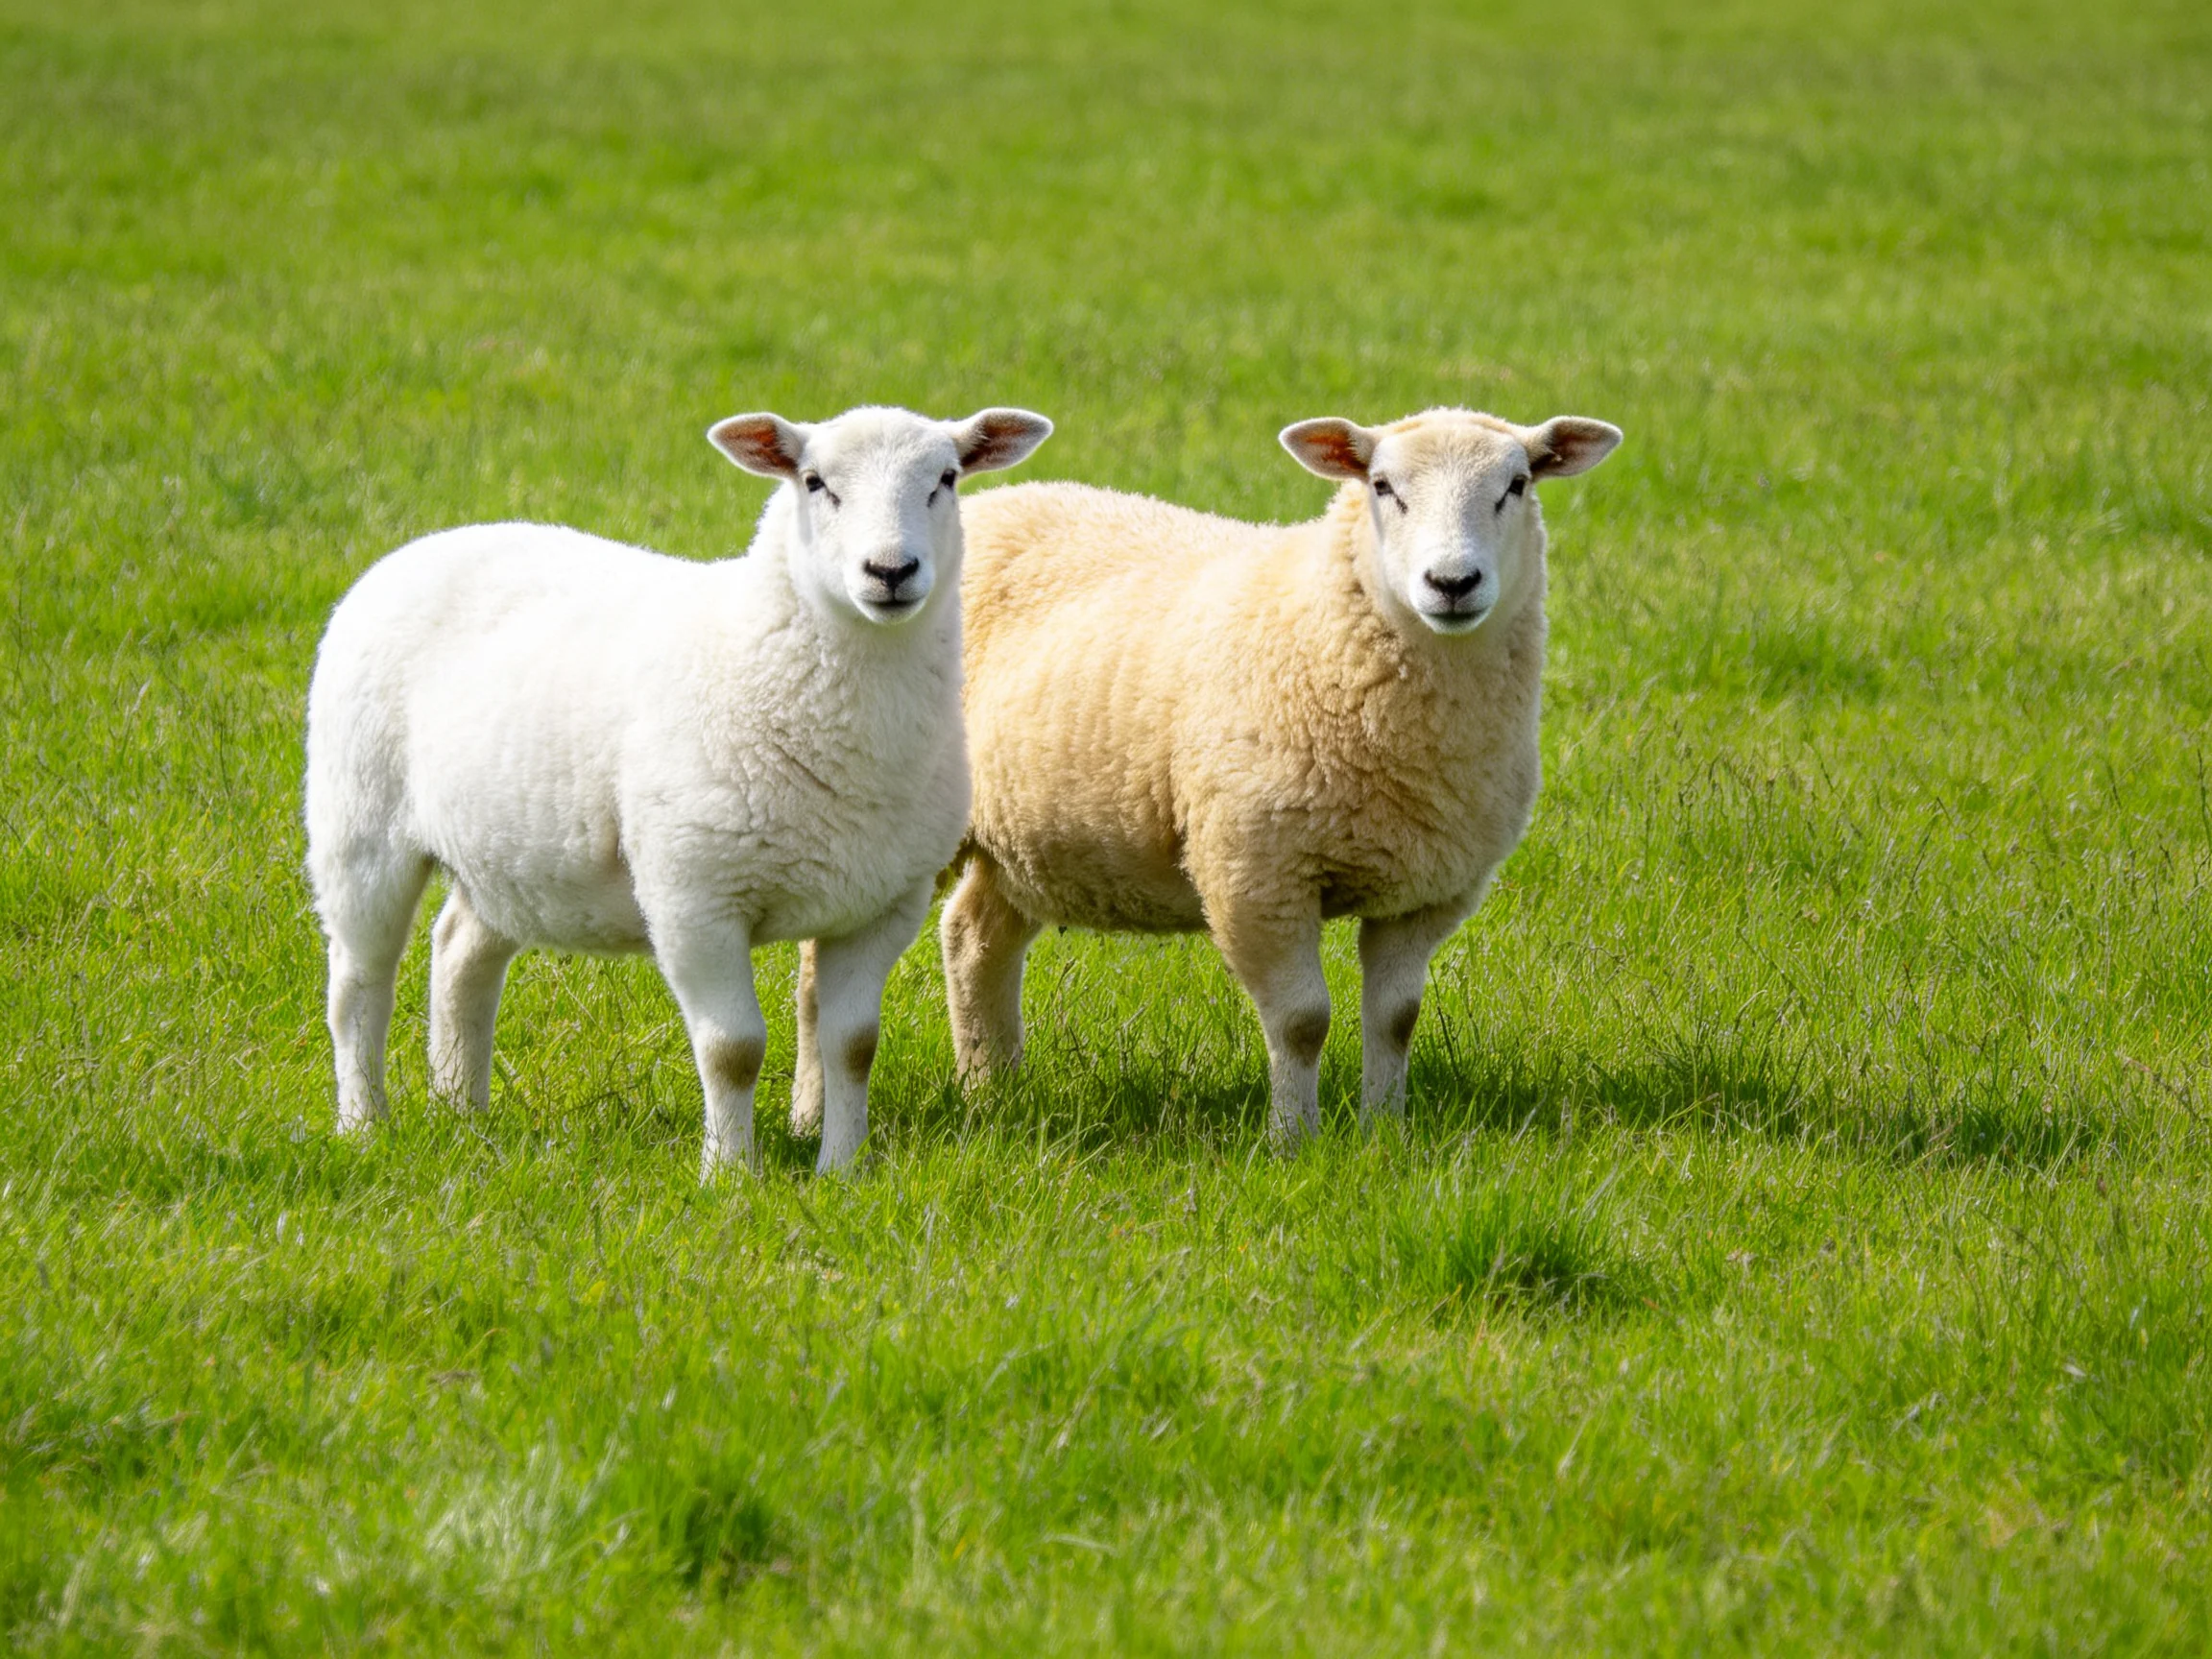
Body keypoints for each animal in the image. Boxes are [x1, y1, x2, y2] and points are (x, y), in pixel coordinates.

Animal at [304, 404, 1054, 1175]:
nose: (891, 571)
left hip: (511, 855)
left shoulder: (880, 908)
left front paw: (843, 1169)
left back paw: (462, 1112)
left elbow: (852, 1046)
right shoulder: (693, 898)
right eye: (814, 483)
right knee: (357, 984)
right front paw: (730, 1175)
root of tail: (429, 544)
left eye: (947, 479)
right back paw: (363, 1124)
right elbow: (733, 1050)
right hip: (358, 821)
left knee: (459, 954)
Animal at [941, 407, 1620, 1146]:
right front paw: (1294, 1140)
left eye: (1517, 485)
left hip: (1022, 841)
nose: (1452, 583)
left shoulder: (1426, 890)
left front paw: (1385, 1133)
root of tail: (994, 500)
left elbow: (1396, 1018)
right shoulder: (1256, 871)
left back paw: (991, 1090)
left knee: (975, 936)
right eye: (1382, 486)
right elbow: (1302, 1023)